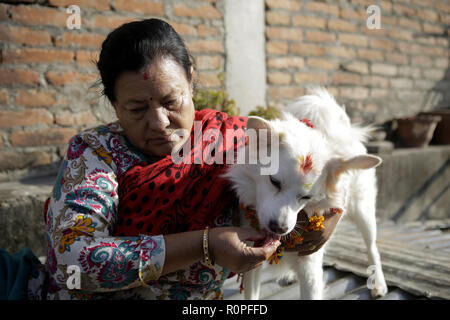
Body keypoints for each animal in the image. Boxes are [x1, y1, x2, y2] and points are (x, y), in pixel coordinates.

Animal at [223, 87, 388, 300]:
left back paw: (379, 282)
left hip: (363, 211)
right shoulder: (252, 261)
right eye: (274, 182)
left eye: (306, 198)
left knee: (372, 247)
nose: (279, 228)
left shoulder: (310, 266)